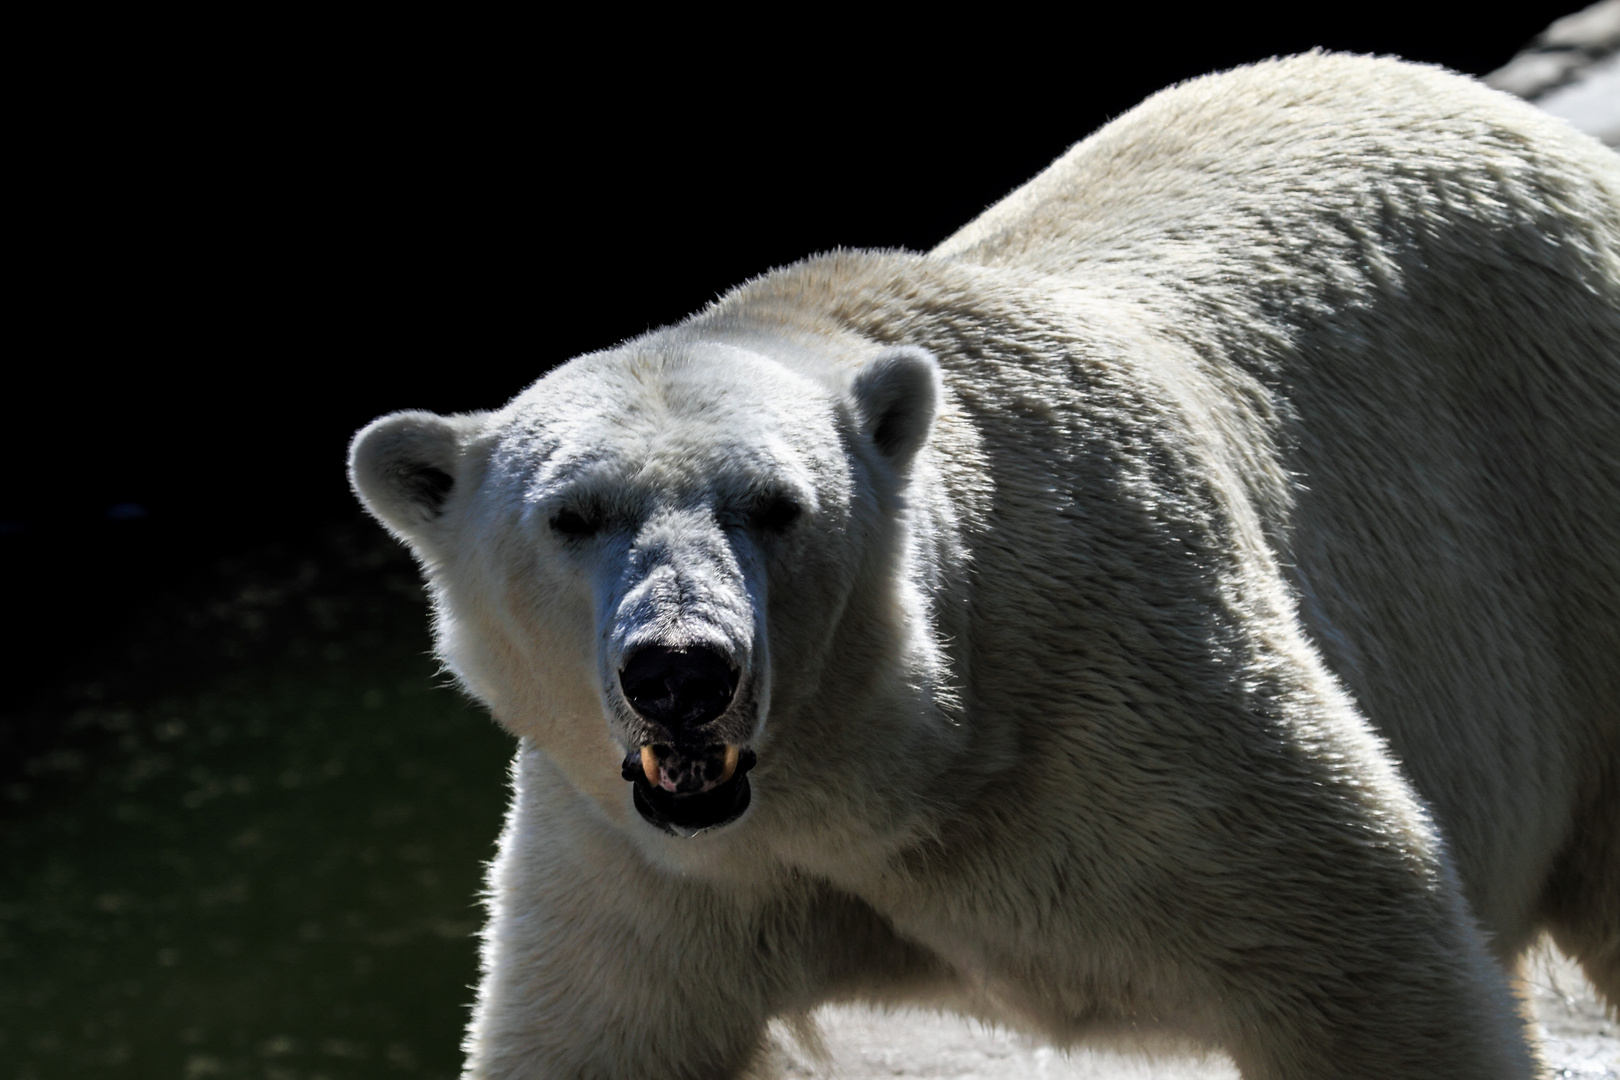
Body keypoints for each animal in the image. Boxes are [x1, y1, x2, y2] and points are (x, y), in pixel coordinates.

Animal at [348, 55, 1613, 1080]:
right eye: (576, 515)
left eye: (775, 507)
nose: (683, 670)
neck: (895, 769)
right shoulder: (641, 859)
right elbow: (591, 1029)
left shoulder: (1148, 709)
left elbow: (1369, 948)